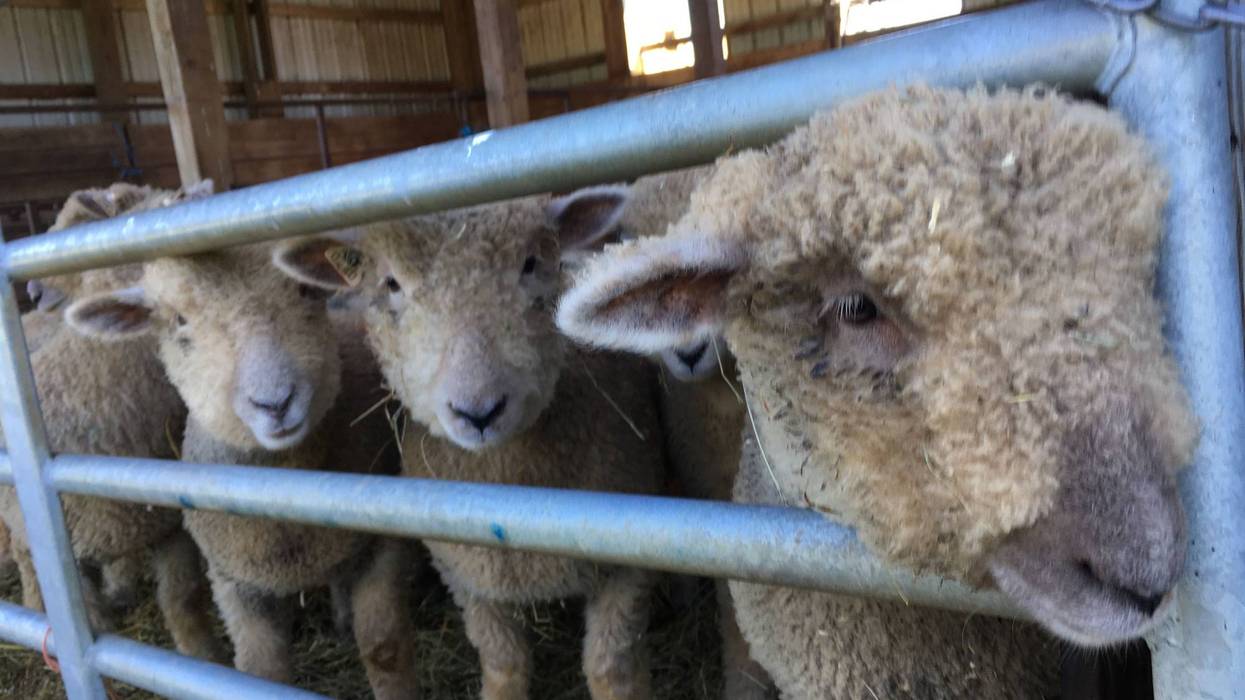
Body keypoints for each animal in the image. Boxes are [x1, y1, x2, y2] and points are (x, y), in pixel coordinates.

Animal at [0, 181, 221, 659]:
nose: (34, 289)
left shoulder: (168, 526)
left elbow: (182, 599)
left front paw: (203, 657)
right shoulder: (64, 561)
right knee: (24, 557)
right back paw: (31, 603)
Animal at [66, 244, 419, 699]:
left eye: (304, 290)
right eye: (179, 321)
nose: (275, 403)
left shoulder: (379, 545)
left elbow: (383, 647)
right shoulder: (233, 581)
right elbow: (260, 670)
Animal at [273, 194, 666, 700]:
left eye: (531, 263)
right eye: (391, 284)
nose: (478, 412)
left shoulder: (628, 569)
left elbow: (611, 669)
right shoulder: (466, 574)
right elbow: (504, 663)